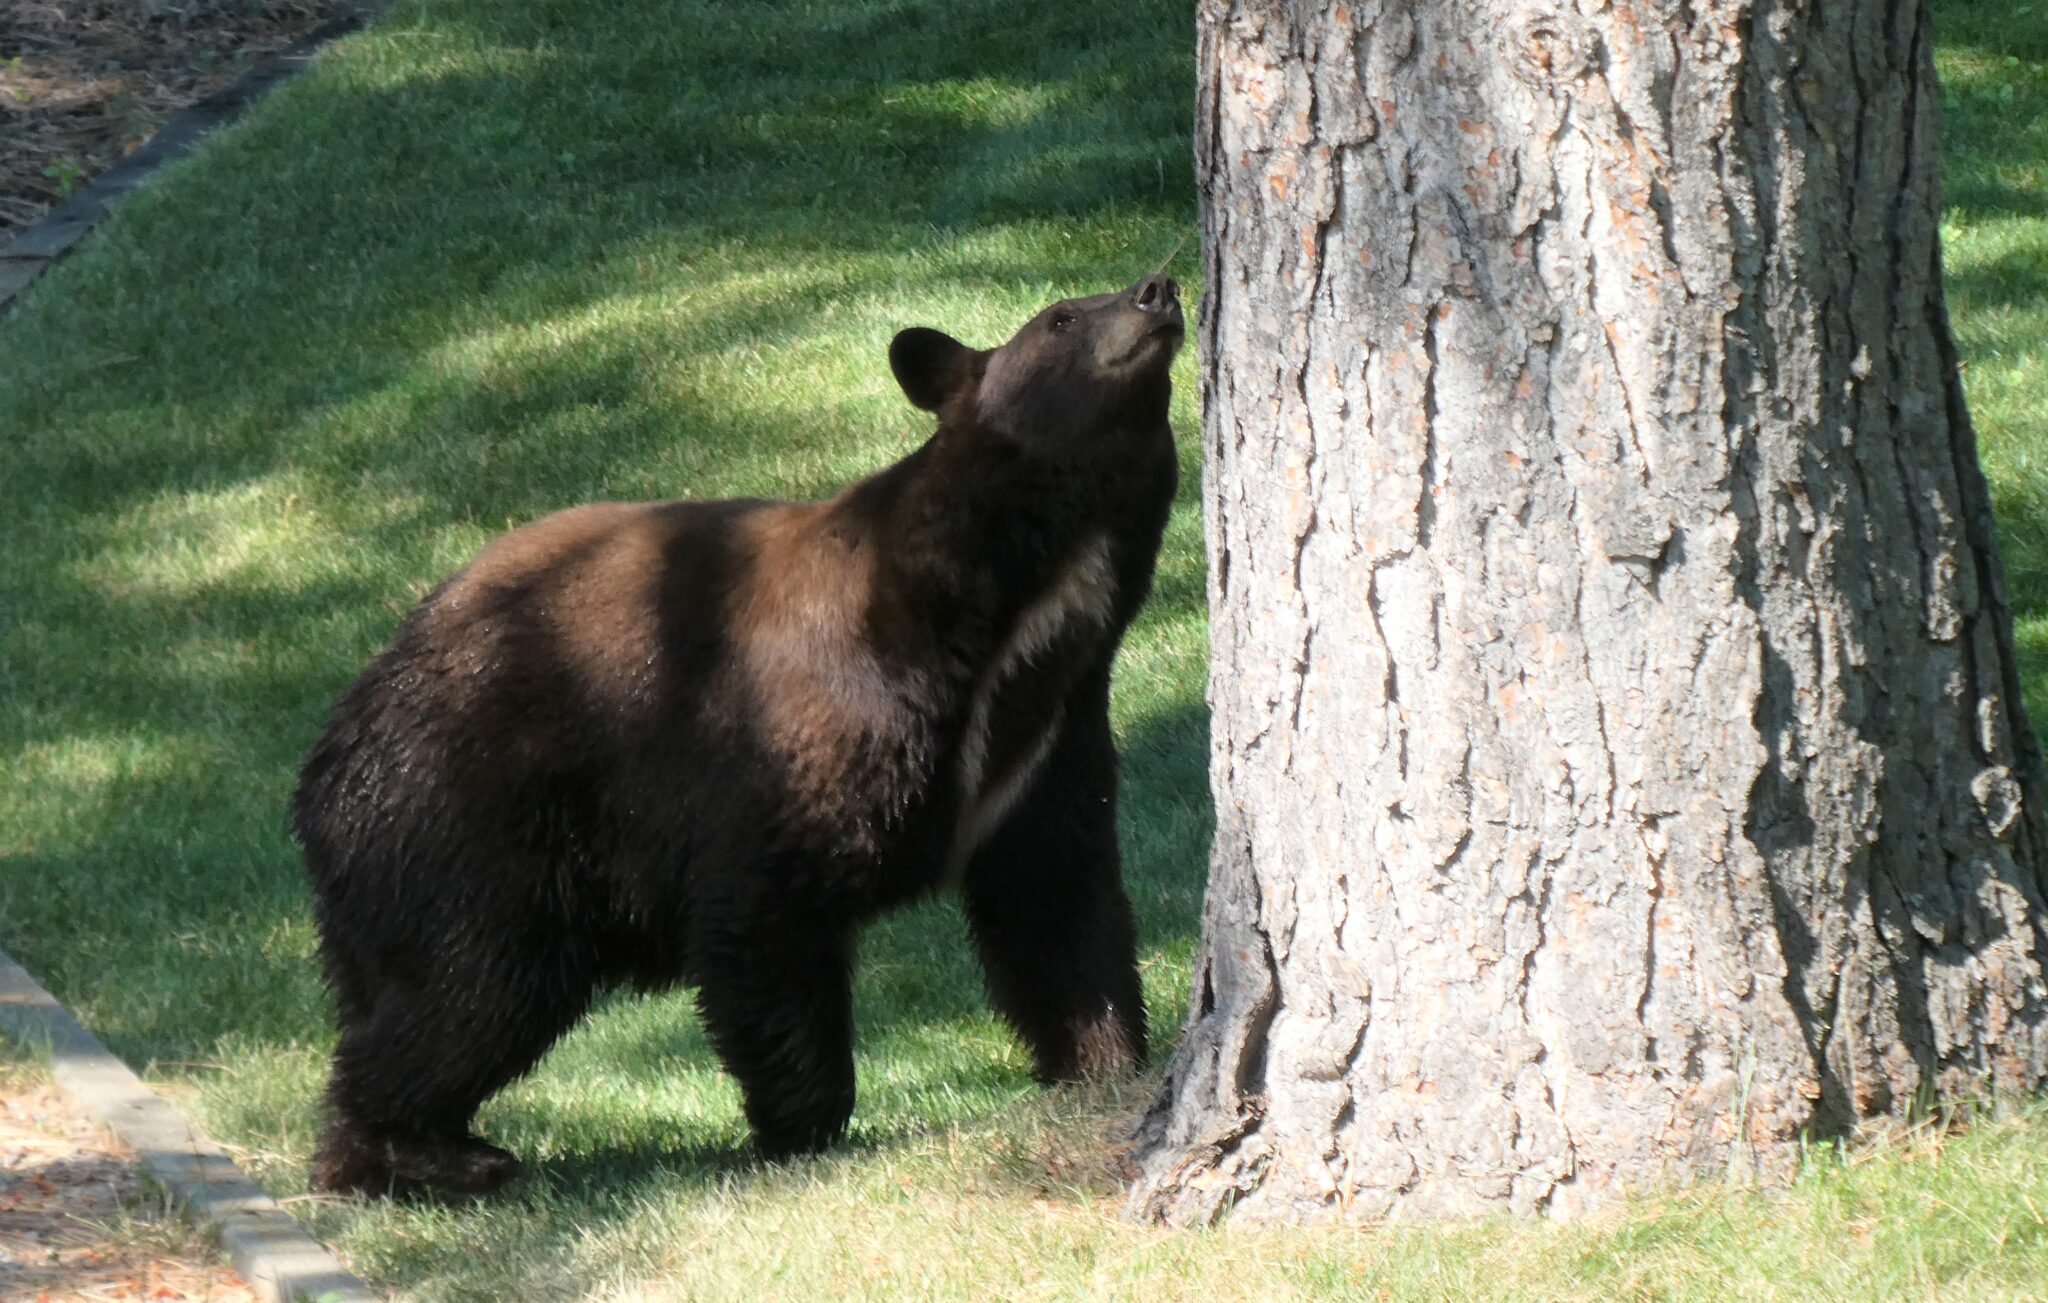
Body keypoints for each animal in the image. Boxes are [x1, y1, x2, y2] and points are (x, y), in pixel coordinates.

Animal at [291, 274, 1185, 1197]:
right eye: (1062, 318)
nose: (1158, 290)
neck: (1001, 616)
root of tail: (329, 749)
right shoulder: (812, 718)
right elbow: (764, 910)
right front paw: (804, 1126)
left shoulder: (1046, 739)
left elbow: (1057, 898)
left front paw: (1103, 1064)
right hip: (468, 816)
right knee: (475, 986)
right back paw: (420, 1150)